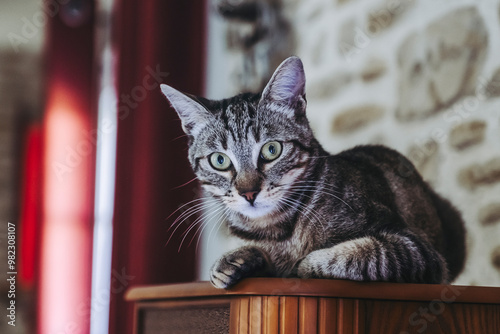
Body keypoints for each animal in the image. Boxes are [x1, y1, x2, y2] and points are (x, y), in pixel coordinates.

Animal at [162, 56, 466, 288]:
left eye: (271, 149)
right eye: (219, 160)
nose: (248, 192)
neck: (277, 232)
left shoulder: (414, 249)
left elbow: (352, 255)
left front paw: (300, 263)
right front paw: (232, 261)